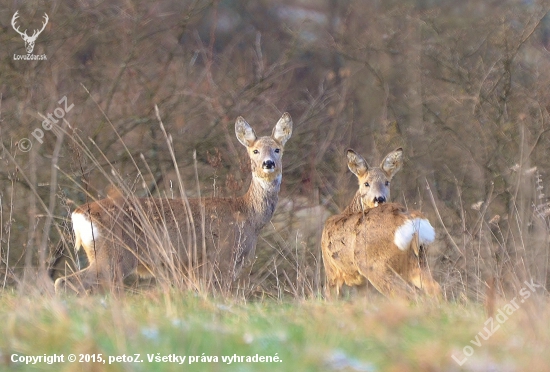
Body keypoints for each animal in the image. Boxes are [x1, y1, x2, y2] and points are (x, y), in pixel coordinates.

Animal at [56, 112, 296, 294]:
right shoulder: (223, 256)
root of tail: (78, 214)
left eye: (278, 149)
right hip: (114, 254)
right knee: (66, 282)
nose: (268, 164)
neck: (247, 215)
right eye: (255, 150)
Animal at [322, 148, 442, 300]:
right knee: (435, 288)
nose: (379, 198)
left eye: (387, 182)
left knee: (405, 294)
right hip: (418, 260)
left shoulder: (331, 270)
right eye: (366, 183)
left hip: (375, 265)